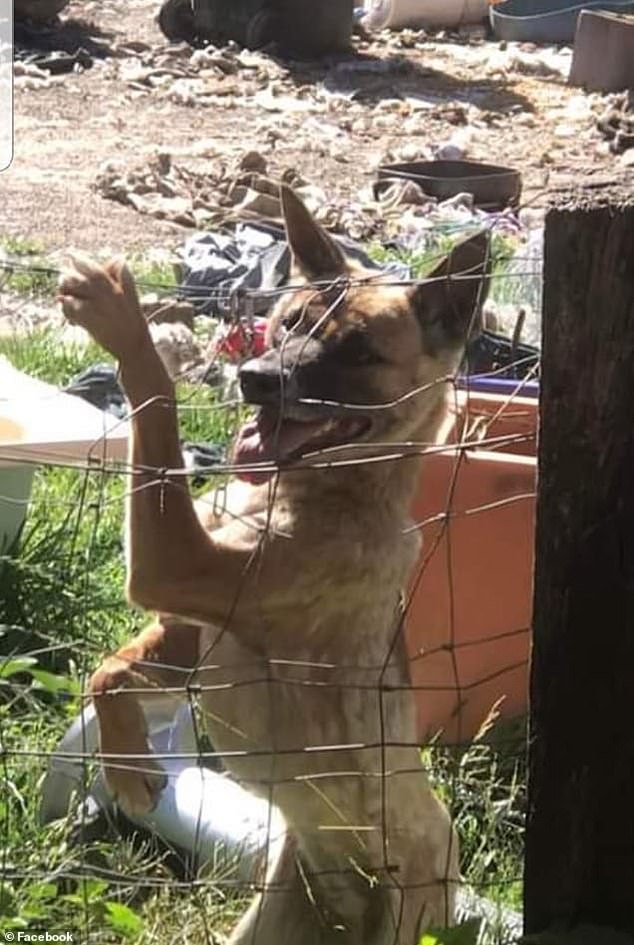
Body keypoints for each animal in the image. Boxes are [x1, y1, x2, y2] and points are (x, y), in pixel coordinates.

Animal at [58, 186, 488, 944]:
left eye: (358, 350)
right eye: (287, 323)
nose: (254, 380)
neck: (327, 489)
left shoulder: (180, 565)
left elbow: (156, 396)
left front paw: (124, 318)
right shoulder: (189, 630)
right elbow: (109, 669)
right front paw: (129, 764)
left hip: (413, 899)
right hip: (273, 913)